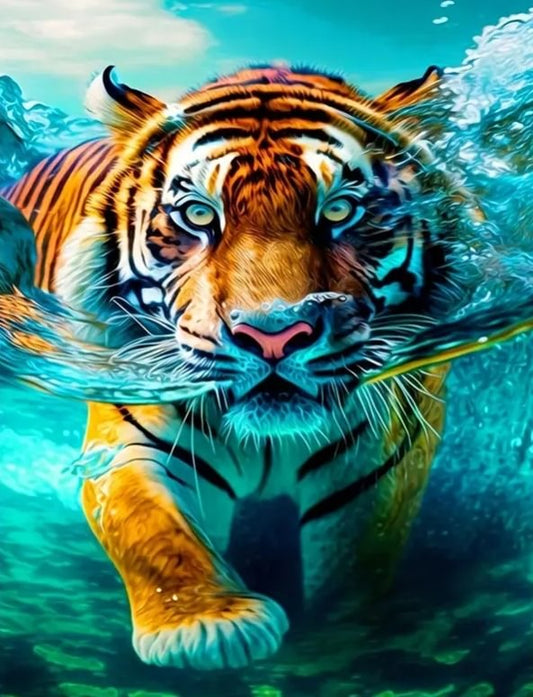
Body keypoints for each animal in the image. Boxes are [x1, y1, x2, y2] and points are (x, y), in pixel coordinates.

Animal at [2, 63, 472, 670]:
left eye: (339, 210)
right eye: (200, 215)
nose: (273, 334)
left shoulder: (383, 467)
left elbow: (359, 568)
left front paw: (345, 636)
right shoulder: (132, 437)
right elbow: (151, 529)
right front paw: (206, 624)